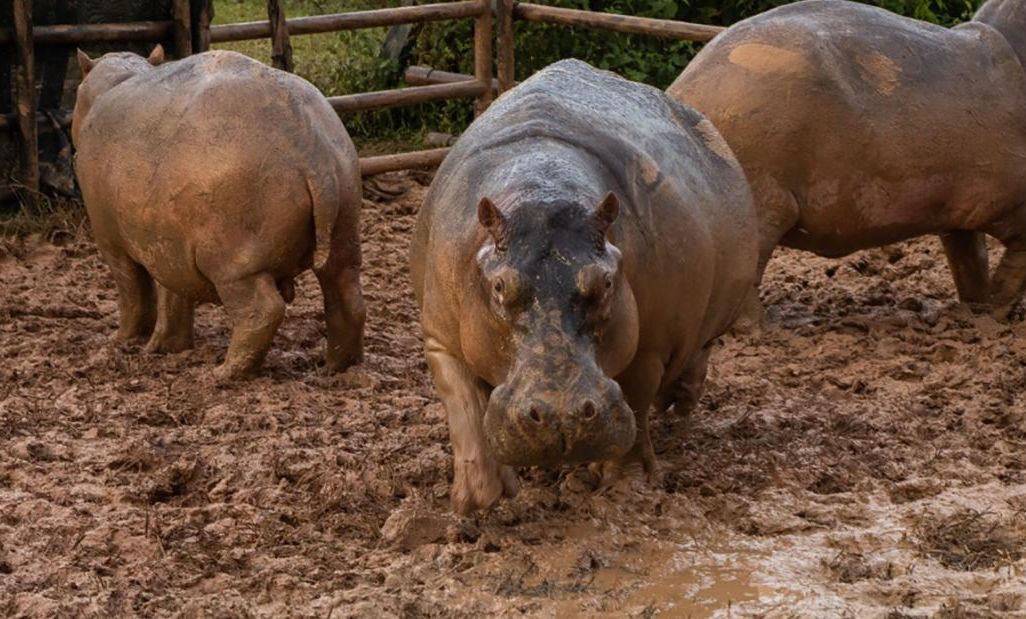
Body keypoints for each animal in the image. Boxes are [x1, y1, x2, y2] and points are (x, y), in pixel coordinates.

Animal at [73, 47, 365, 378]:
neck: (115, 81)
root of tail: (312, 153)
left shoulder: (112, 242)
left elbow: (134, 292)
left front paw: (121, 341)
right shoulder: (167, 245)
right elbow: (172, 297)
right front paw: (166, 347)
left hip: (233, 263)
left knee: (262, 311)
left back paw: (222, 373)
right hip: (344, 229)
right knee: (347, 298)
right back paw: (333, 368)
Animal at [410, 59, 757, 514]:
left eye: (606, 280)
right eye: (500, 286)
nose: (562, 416)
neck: (541, 189)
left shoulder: (649, 346)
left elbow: (635, 403)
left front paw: (626, 487)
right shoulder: (441, 338)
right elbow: (465, 408)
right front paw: (480, 500)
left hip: (708, 318)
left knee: (696, 354)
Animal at [668, 0, 1026, 323]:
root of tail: (682, 91)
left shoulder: (957, 211)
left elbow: (970, 259)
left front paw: (977, 313)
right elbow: (1014, 264)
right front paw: (997, 315)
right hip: (762, 197)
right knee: (747, 276)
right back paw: (768, 330)